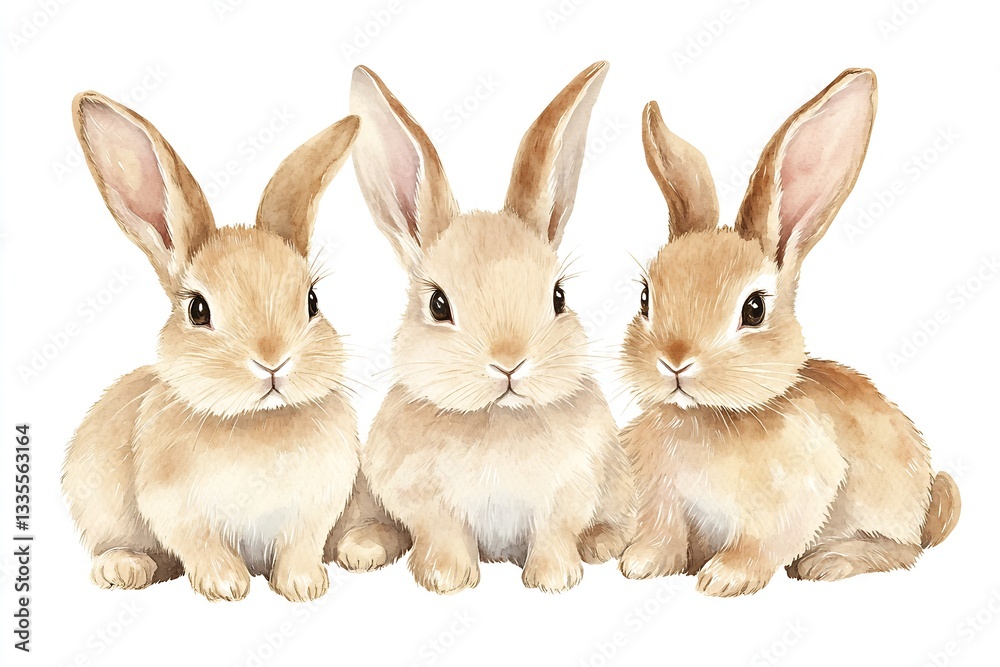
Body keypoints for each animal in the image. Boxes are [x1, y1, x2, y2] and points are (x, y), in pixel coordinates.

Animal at [61, 92, 405, 602]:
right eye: (198, 310)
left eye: (312, 301)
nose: (272, 361)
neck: (255, 421)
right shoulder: (175, 508)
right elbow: (202, 545)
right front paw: (226, 585)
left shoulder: (317, 503)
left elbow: (302, 545)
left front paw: (303, 586)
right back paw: (124, 568)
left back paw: (364, 550)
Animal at [349, 62, 635, 594]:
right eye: (438, 304)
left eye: (558, 297)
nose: (509, 363)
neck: (497, 418)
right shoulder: (422, 499)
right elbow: (441, 532)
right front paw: (446, 579)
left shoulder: (571, 490)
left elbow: (554, 531)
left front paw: (554, 579)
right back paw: (362, 548)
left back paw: (603, 544)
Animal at [618, 69, 960, 597]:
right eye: (644, 298)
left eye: (754, 309)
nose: (674, 361)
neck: (709, 418)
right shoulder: (662, 499)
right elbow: (663, 534)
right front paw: (641, 564)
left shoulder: (793, 497)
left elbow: (759, 544)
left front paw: (724, 579)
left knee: (904, 550)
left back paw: (829, 562)